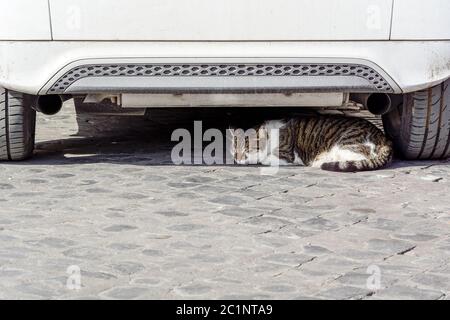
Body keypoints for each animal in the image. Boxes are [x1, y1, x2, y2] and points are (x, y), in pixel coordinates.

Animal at [230, 115, 392, 172]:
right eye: (234, 150)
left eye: (246, 151)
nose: (237, 159)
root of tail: (385, 138)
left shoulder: (286, 154)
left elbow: (265, 159)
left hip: (345, 143)